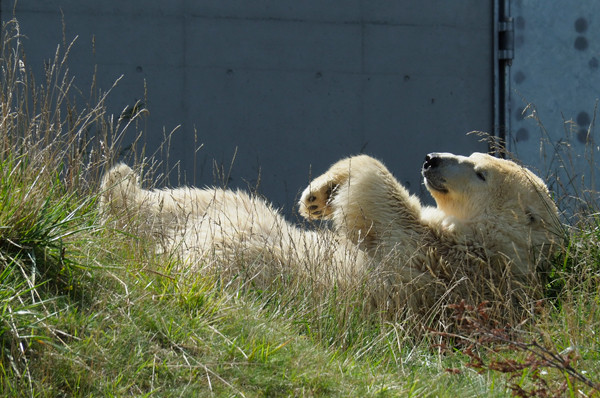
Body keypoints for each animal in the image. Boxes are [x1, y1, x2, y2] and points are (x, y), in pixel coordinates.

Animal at [99, 152, 564, 324]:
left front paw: (323, 193)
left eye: (480, 171)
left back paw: (119, 188)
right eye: (472, 153)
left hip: (238, 245)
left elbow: (379, 202)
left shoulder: (434, 261)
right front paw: (316, 197)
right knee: (191, 202)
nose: (432, 159)